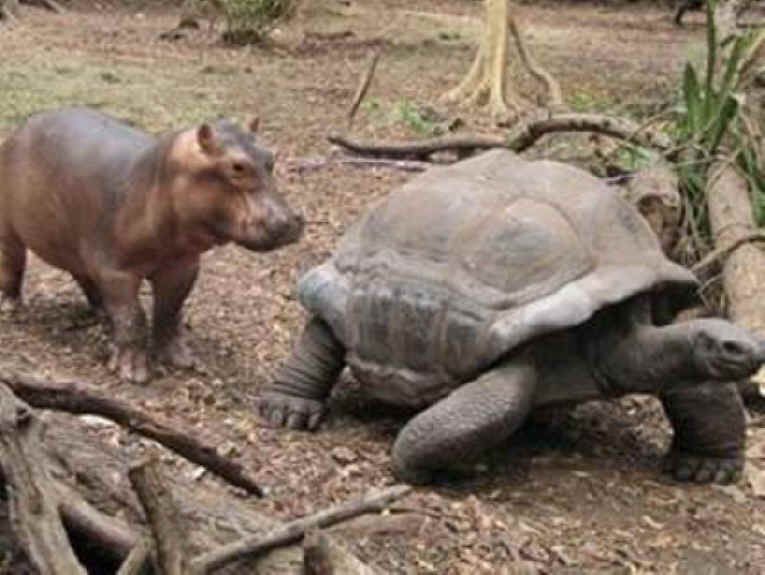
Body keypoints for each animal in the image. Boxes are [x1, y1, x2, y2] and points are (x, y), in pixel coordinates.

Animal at [0, 110, 302, 384]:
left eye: (271, 158)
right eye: (237, 167)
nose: (291, 220)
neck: (161, 178)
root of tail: (18, 130)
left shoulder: (182, 266)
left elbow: (169, 310)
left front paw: (180, 359)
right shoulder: (117, 270)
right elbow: (133, 316)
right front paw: (133, 373)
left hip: (75, 242)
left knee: (83, 274)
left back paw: (102, 311)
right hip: (10, 230)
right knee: (12, 263)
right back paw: (10, 308)